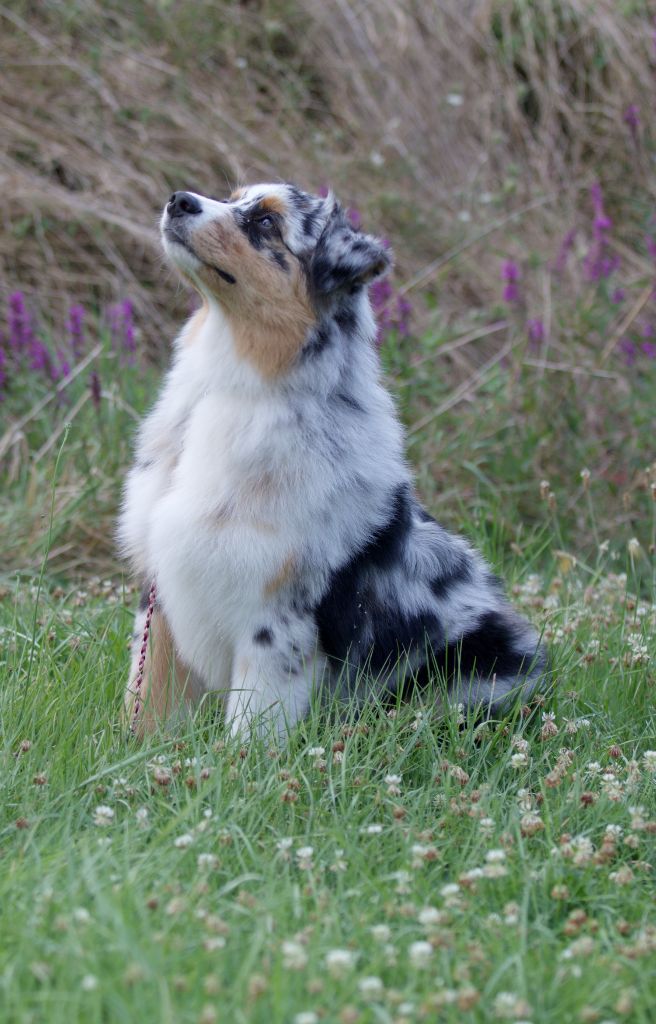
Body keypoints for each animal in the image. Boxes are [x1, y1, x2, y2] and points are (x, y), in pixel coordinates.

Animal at [116, 182, 540, 737]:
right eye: (231, 197)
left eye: (267, 223)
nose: (179, 199)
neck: (233, 384)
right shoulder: (163, 591)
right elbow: (148, 699)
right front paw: (132, 750)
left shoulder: (277, 619)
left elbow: (251, 727)